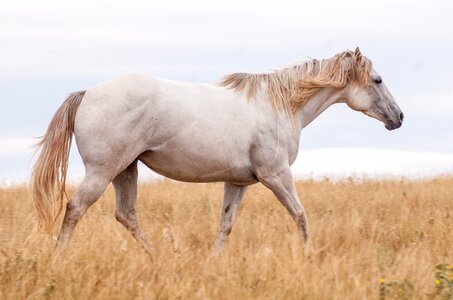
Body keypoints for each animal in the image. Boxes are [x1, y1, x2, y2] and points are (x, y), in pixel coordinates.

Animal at [30, 48, 400, 254]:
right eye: (378, 80)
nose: (398, 117)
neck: (280, 105)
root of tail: (88, 93)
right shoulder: (276, 175)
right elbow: (300, 215)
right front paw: (310, 256)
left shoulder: (237, 183)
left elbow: (226, 224)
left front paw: (214, 260)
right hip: (103, 171)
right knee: (76, 208)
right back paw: (59, 258)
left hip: (125, 169)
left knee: (126, 214)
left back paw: (159, 258)